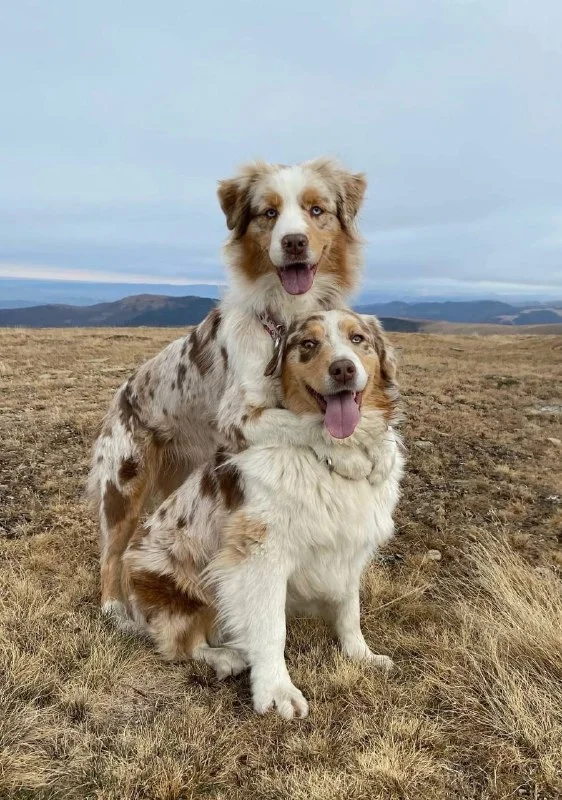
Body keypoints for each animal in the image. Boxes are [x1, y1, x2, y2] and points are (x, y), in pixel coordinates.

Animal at [88, 158, 375, 623]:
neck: (285, 322)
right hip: (124, 481)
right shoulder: (237, 418)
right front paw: (348, 450)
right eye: (268, 213)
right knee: (112, 550)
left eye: (316, 210)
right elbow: (302, 422)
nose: (294, 242)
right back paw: (114, 605)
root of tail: (122, 393)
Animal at [121, 309, 404, 719]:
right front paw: (276, 690)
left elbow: (349, 609)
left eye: (358, 339)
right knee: (181, 643)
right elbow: (271, 628)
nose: (343, 369)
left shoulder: (349, 544)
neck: (331, 455)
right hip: (177, 586)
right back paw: (226, 657)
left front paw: (360, 655)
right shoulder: (260, 554)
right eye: (308, 344)